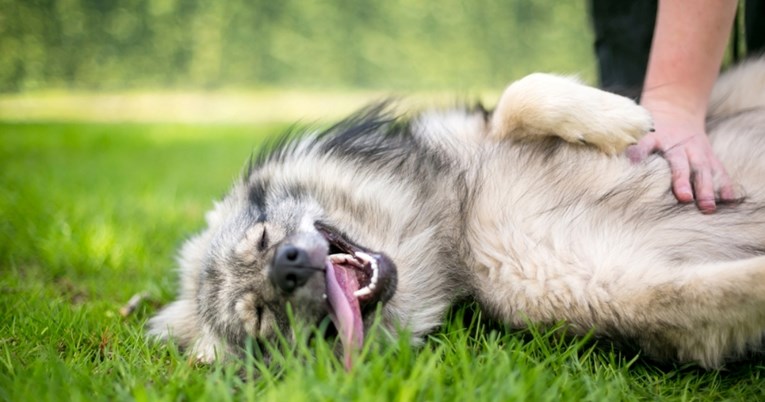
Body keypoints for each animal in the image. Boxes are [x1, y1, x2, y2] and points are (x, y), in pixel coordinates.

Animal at [148, 58, 764, 370]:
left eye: (261, 237)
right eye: (260, 316)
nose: (289, 265)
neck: (453, 223)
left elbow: (520, 94)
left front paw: (618, 117)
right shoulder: (620, 287)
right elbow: (720, 292)